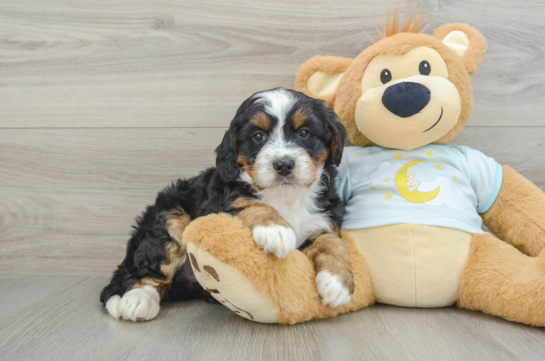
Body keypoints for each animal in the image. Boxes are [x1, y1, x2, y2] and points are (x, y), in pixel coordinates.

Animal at [101, 88, 352, 322]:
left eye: (304, 132)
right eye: (258, 136)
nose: (283, 165)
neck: (285, 196)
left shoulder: (325, 216)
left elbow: (331, 240)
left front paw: (337, 282)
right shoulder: (219, 207)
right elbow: (253, 205)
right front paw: (275, 229)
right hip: (169, 216)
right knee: (147, 270)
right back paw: (137, 300)